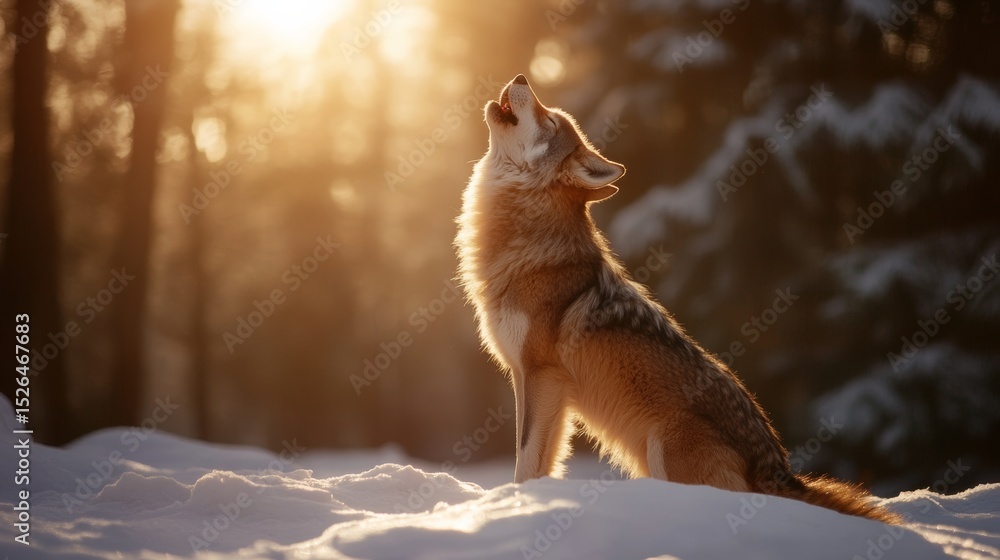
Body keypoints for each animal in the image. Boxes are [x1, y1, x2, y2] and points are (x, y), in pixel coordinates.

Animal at [455, 74, 899, 524]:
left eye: (548, 120)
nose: (521, 78)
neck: (526, 242)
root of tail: (777, 468)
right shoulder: (536, 383)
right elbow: (542, 460)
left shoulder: (541, 375)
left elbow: (525, 458)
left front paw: (514, 503)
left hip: (664, 448)